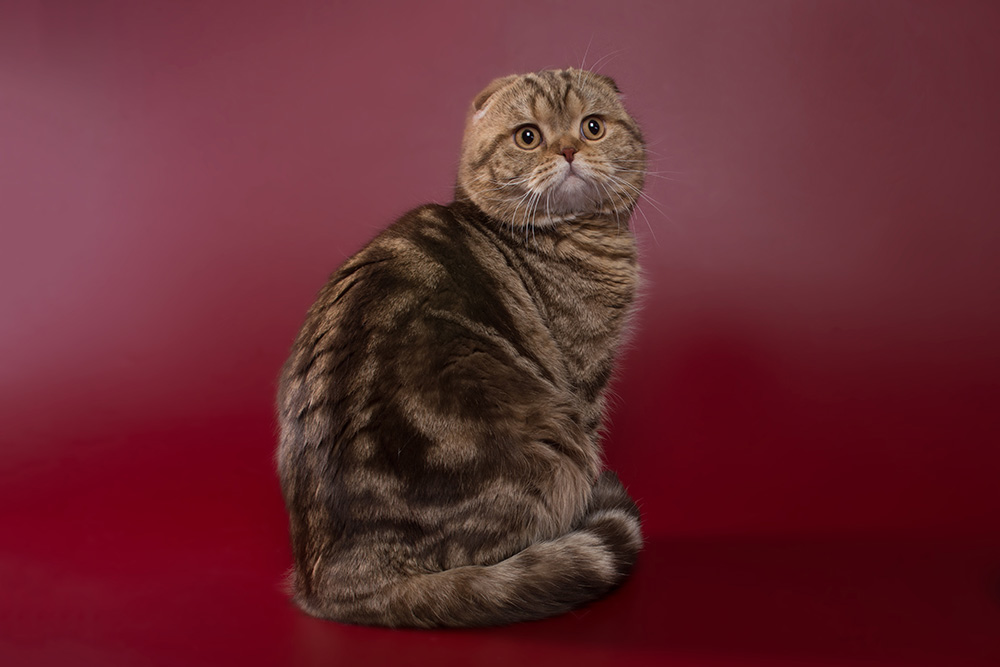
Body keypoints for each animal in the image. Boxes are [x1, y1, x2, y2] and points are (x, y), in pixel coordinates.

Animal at [276, 68, 648, 628]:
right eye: (528, 136)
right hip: (550, 442)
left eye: (593, 127)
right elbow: (592, 438)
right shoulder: (583, 380)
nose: (568, 150)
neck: (576, 236)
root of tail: (337, 582)